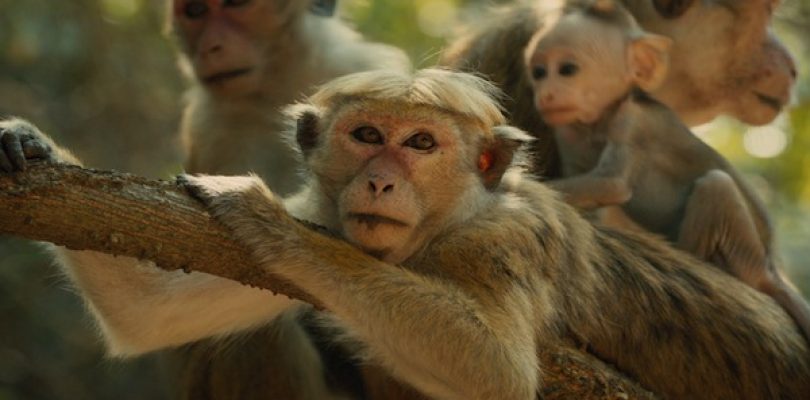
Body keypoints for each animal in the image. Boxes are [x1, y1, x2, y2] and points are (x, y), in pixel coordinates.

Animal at [4, 68, 810, 400]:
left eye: (421, 143)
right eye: (367, 135)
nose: (382, 179)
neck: (442, 226)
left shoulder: (504, 239)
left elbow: (495, 371)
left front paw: (266, 219)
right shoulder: (328, 209)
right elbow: (146, 312)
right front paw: (26, 142)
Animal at [521, 0, 810, 342]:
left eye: (567, 69)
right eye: (539, 73)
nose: (546, 94)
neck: (600, 120)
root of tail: (770, 267)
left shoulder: (633, 122)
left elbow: (612, 183)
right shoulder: (567, 130)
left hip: (746, 256)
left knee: (716, 184)